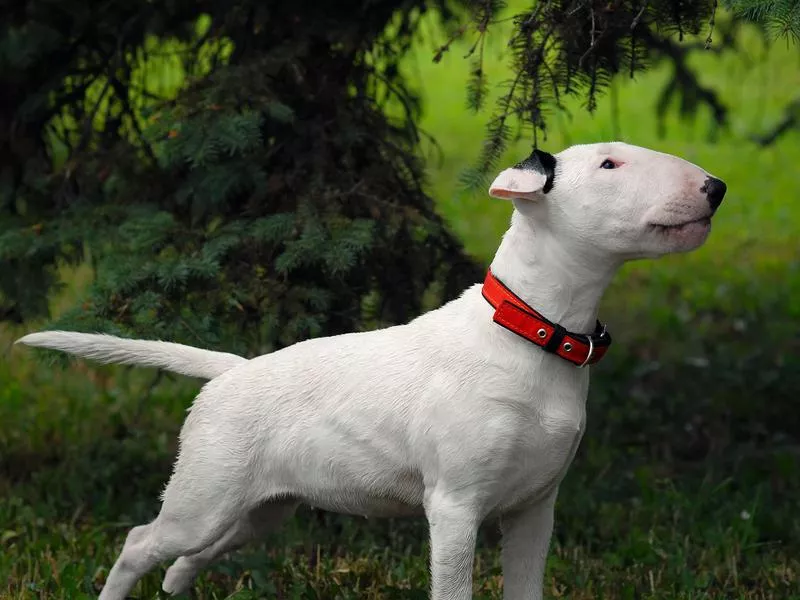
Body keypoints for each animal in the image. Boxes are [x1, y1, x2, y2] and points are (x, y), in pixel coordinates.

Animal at [15, 143, 724, 596]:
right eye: (608, 164)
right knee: (141, 544)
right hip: (205, 497)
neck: (531, 335)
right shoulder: (455, 509)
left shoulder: (534, 510)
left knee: (181, 564)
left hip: (256, 513)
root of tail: (231, 371)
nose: (715, 188)